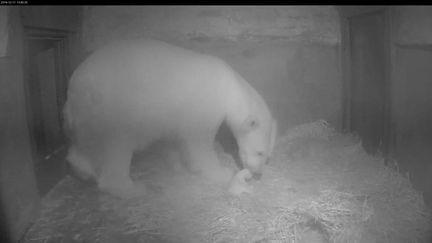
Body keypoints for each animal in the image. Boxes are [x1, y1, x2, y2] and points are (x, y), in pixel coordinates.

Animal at [64, 39, 276, 198]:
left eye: (267, 157)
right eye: (259, 152)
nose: (258, 174)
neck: (229, 87)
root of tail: (75, 84)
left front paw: (179, 164)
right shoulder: (205, 103)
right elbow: (199, 141)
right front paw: (221, 172)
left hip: (87, 114)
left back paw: (82, 170)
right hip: (112, 105)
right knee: (117, 145)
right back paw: (131, 188)